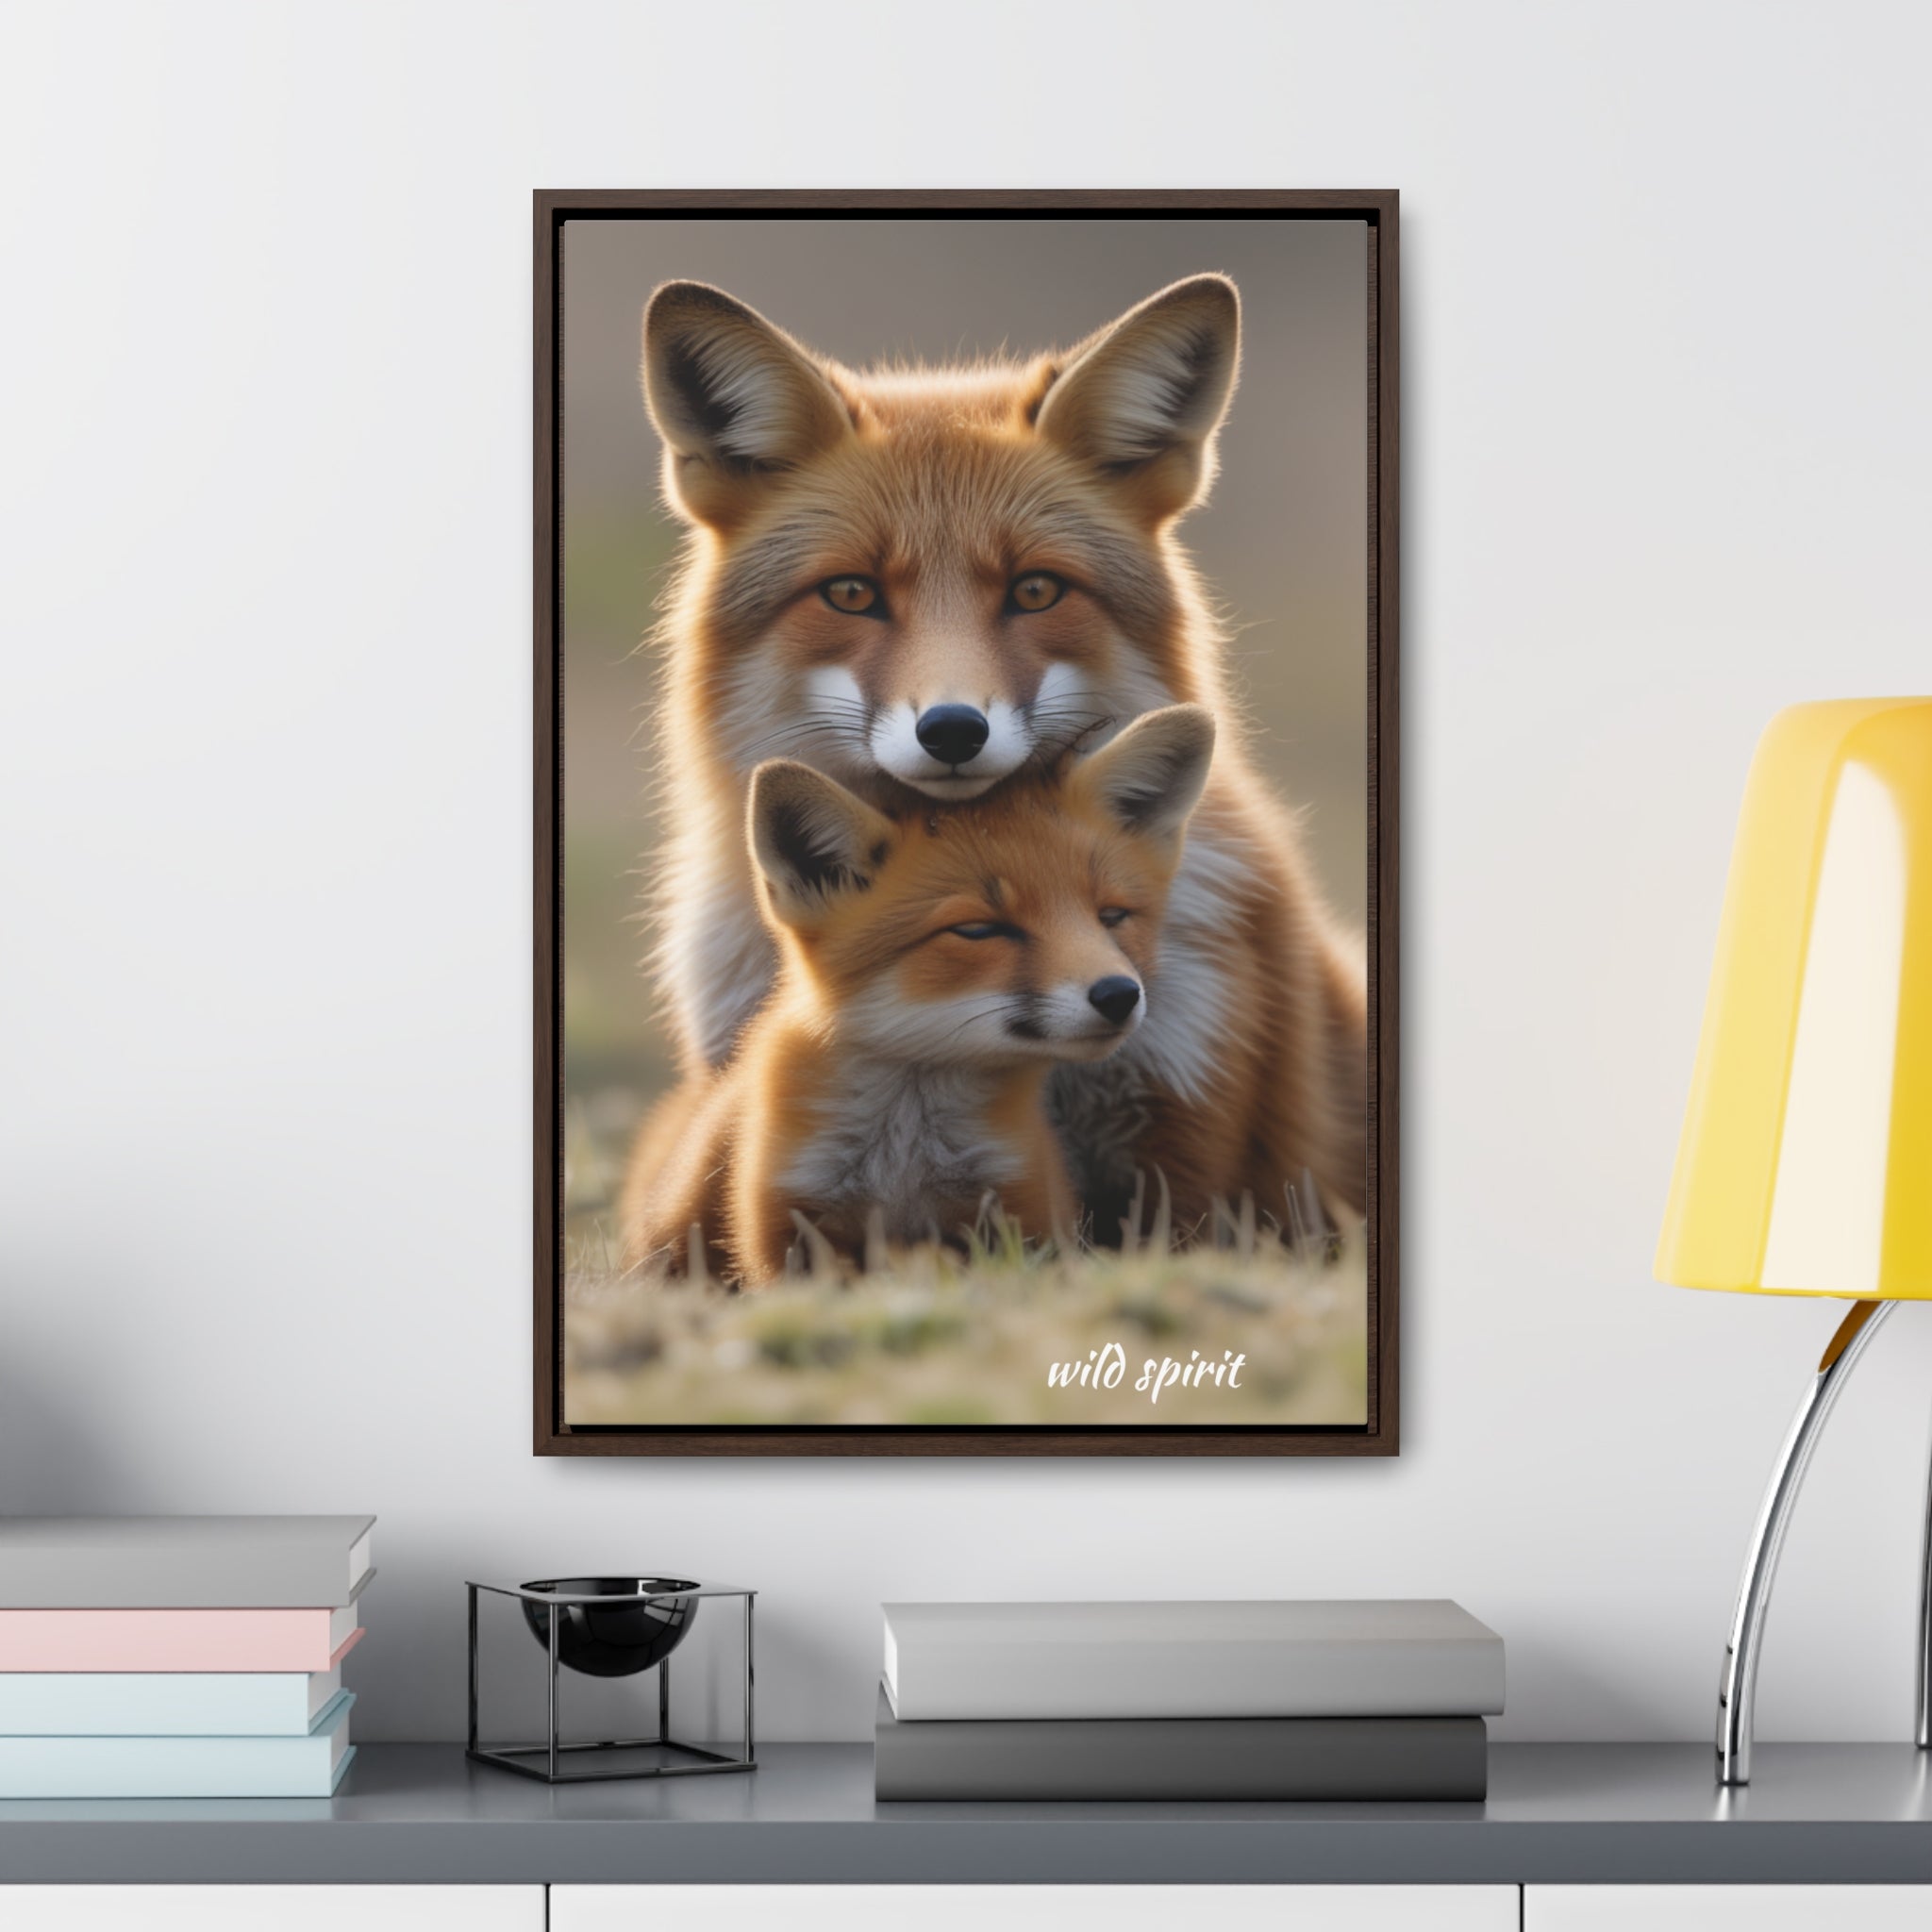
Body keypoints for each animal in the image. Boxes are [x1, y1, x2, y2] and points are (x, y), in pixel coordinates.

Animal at [620, 707, 1215, 1285]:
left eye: (1111, 916)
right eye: (979, 930)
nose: (1119, 994)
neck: (905, 1156)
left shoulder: (1021, 1209)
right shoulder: (787, 1227)